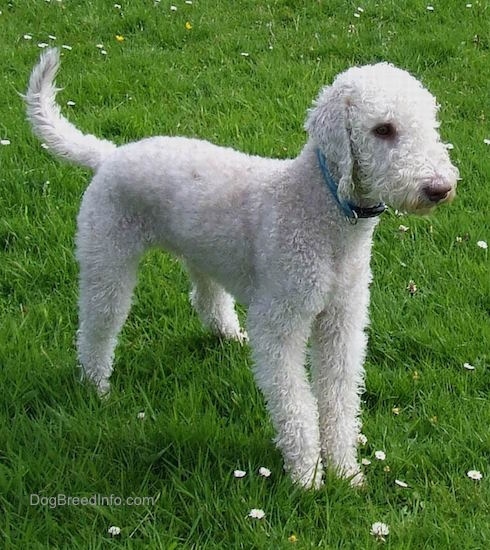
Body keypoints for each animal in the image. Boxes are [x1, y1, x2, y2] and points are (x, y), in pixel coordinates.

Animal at [26, 47, 458, 488]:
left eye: (430, 123)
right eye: (383, 129)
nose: (439, 189)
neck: (320, 211)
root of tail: (109, 156)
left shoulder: (342, 321)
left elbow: (339, 398)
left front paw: (345, 472)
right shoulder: (279, 322)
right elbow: (295, 403)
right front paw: (307, 477)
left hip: (200, 250)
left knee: (204, 296)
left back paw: (227, 334)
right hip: (107, 257)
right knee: (97, 327)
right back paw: (96, 387)